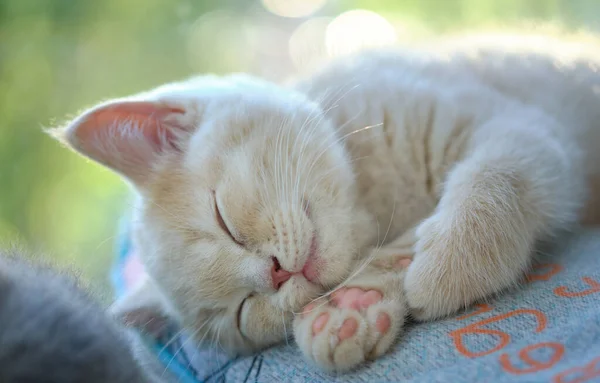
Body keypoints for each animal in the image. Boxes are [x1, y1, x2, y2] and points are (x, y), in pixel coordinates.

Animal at [50, 34, 600, 374]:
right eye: (242, 312)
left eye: (223, 220)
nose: (275, 273)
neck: (380, 197)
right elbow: (390, 253)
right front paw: (348, 308)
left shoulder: (521, 126)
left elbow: (494, 176)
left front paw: (448, 267)